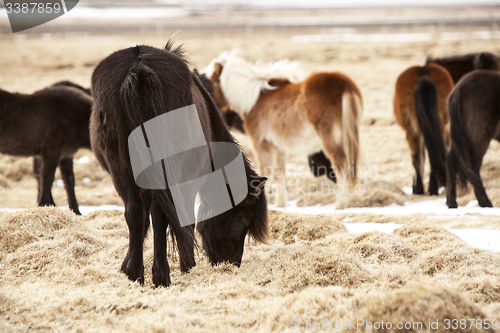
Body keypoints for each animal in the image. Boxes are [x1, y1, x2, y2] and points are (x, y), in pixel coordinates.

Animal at [0, 81, 93, 214]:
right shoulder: (50, 154)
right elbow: (47, 180)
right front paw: (45, 205)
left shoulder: (66, 156)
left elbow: (69, 182)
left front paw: (76, 212)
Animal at [90, 41, 270, 286]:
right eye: (244, 218)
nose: (232, 263)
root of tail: (139, 68)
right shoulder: (189, 181)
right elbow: (185, 219)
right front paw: (187, 264)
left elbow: (143, 222)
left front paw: (127, 265)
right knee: (159, 213)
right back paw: (161, 275)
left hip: (123, 172)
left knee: (135, 211)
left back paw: (136, 274)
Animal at [203, 51, 364, 208]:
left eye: (209, 81)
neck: (255, 99)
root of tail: (344, 85)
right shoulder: (280, 149)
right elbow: (279, 174)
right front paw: (280, 204)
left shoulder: (262, 145)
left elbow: (266, 172)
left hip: (330, 140)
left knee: (340, 164)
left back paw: (341, 203)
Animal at [394, 63, 454, 195]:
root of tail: (424, 78)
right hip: (441, 125)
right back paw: (434, 187)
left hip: (413, 130)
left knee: (417, 157)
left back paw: (421, 188)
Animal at [446, 70, 500, 208]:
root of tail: (459, 90)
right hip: (478, 138)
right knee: (473, 167)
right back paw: (485, 201)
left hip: (462, 136)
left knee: (451, 160)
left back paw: (451, 202)